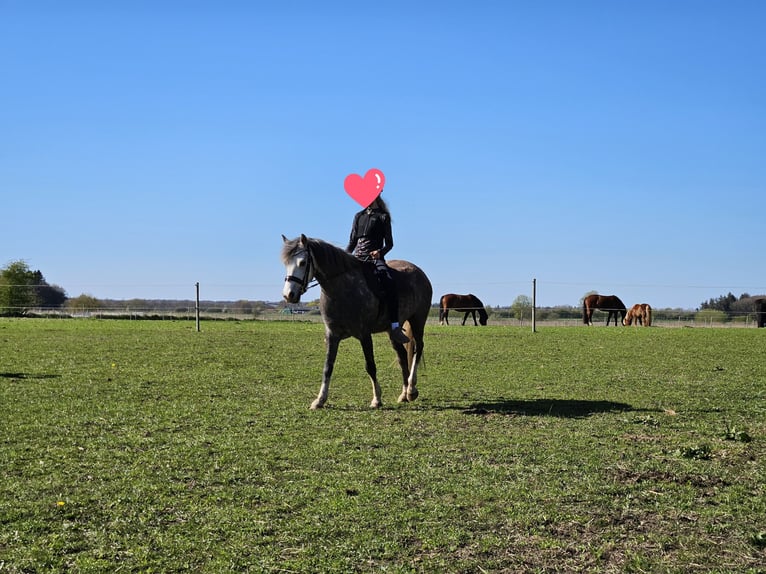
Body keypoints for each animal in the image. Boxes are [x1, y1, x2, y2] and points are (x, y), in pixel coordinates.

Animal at [281, 234, 433, 409]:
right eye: (286, 264)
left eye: (302, 262)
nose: (288, 295)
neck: (342, 288)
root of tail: (419, 272)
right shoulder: (332, 335)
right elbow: (328, 367)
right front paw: (320, 400)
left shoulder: (364, 334)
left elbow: (370, 366)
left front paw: (376, 399)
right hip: (393, 330)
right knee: (401, 355)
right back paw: (404, 393)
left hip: (418, 320)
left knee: (418, 348)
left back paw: (411, 389)